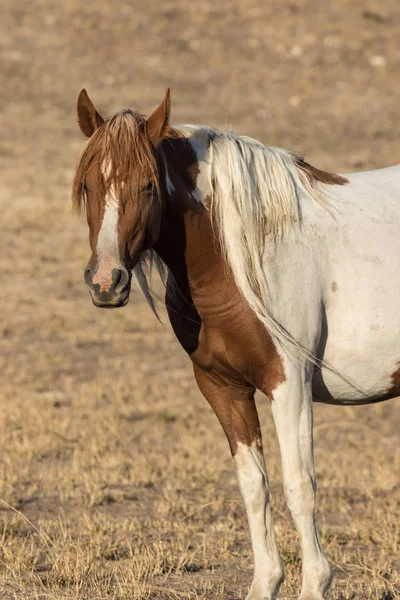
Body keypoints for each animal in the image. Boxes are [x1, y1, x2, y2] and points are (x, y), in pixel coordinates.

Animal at [72, 89, 400, 600]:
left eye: (148, 186)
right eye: (88, 185)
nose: (107, 282)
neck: (241, 257)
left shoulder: (289, 386)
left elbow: (298, 486)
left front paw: (316, 582)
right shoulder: (223, 389)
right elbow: (254, 486)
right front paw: (266, 581)